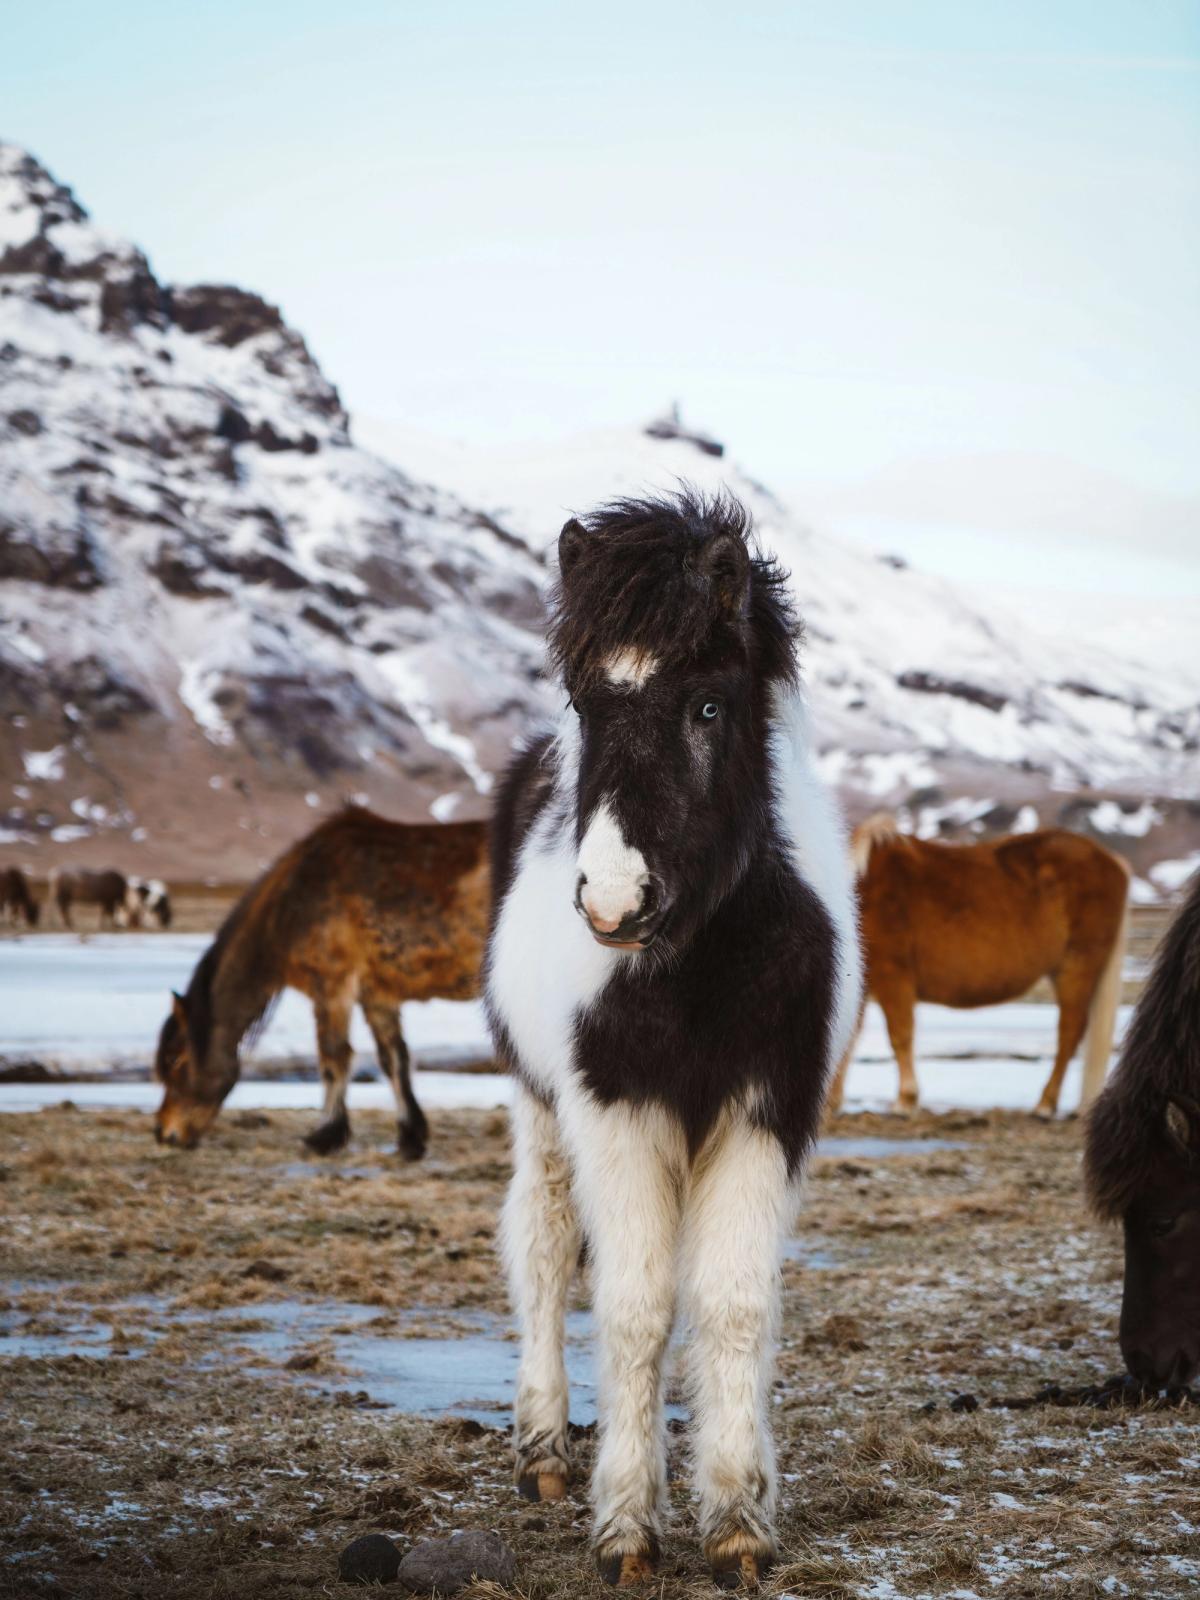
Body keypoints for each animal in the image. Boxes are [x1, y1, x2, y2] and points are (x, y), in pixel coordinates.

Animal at [154, 807, 488, 1155]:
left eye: (175, 1059)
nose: (164, 1133)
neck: (292, 906)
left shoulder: (332, 986)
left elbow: (333, 1056)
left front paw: (326, 1134)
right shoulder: (377, 995)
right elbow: (393, 1059)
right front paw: (411, 1137)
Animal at [485, 491, 860, 1589]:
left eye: (708, 707)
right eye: (584, 705)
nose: (613, 903)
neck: (702, 963)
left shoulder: (765, 1111)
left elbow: (732, 1306)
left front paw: (736, 1521)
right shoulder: (618, 1110)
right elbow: (635, 1308)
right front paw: (626, 1529)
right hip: (538, 1104)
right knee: (542, 1243)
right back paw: (544, 1453)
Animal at [825, 814, 1129, 1119]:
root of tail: (1112, 861)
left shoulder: (893, 975)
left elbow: (900, 1035)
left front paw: (905, 1101)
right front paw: (831, 1101)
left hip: (1076, 966)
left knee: (1069, 1033)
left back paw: (1044, 1105)